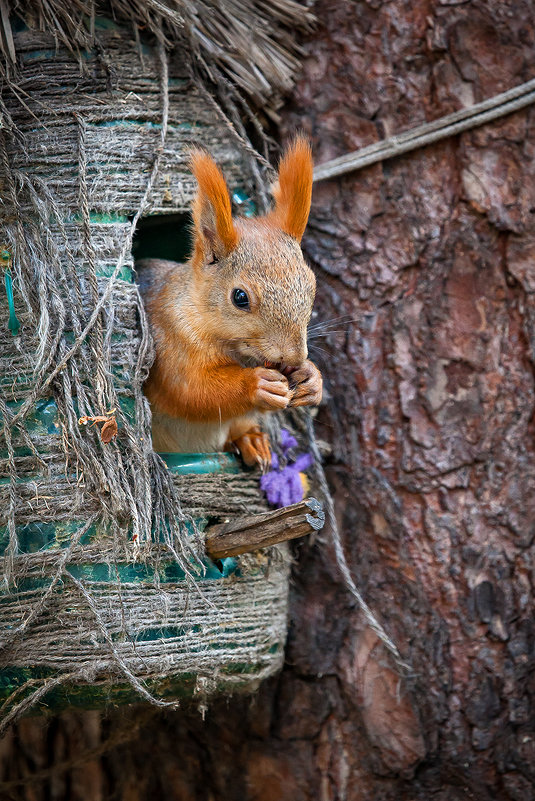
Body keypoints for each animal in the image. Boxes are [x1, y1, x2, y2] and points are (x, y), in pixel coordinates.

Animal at [138, 134, 322, 466]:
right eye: (240, 297)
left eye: (312, 284)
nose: (294, 358)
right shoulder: (168, 345)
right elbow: (192, 392)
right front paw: (256, 385)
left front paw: (312, 378)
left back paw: (250, 440)